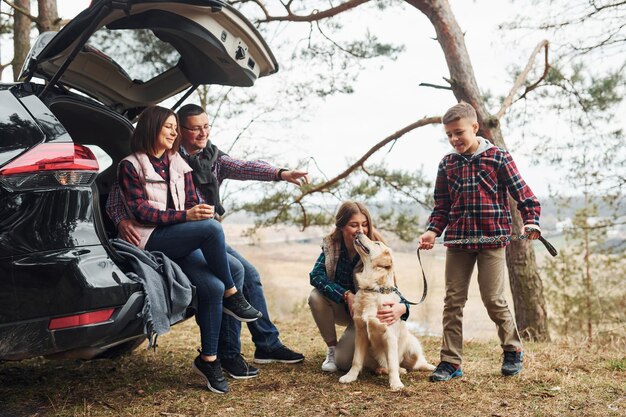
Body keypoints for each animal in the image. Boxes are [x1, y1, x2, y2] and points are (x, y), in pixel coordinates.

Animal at [336, 232, 434, 388]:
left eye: (376, 243)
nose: (358, 233)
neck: (374, 288)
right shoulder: (361, 333)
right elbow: (356, 360)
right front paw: (350, 376)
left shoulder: (389, 336)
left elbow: (393, 363)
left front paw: (395, 384)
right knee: (383, 366)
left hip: (412, 345)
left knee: (414, 364)